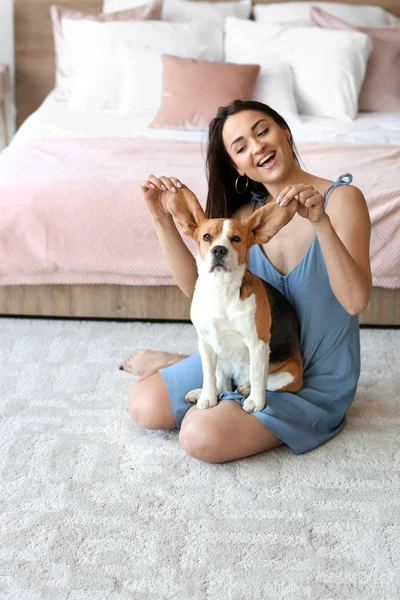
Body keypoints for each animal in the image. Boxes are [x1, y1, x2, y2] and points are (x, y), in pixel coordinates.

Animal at [166, 186, 304, 412]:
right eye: (207, 237)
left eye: (236, 239)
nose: (219, 250)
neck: (221, 290)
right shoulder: (205, 342)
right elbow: (208, 375)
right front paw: (207, 397)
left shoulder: (258, 344)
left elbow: (257, 377)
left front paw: (256, 402)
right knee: (222, 382)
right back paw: (204, 392)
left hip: (286, 376)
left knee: (263, 381)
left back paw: (248, 389)